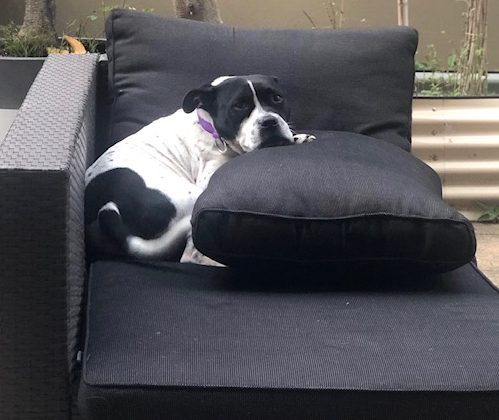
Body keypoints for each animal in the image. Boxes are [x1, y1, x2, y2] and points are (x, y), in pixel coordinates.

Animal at [85, 74, 315, 265]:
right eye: (239, 106)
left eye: (276, 98)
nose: (269, 122)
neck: (210, 125)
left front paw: (297, 138)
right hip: (193, 199)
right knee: (189, 255)